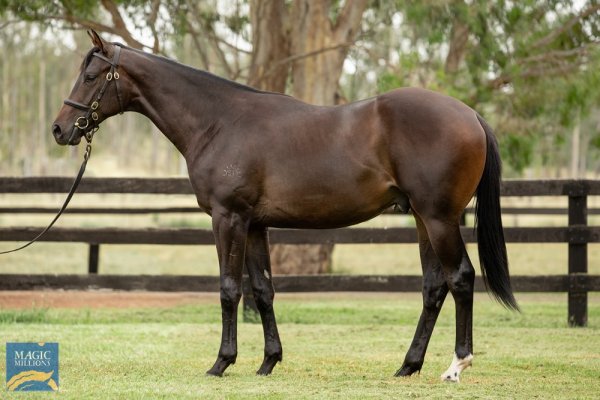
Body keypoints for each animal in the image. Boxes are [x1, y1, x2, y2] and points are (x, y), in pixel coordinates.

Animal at [54, 30, 516, 382]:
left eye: (91, 75)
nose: (60, 129)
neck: (219, 122)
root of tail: (472, 115)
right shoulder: (255, 224)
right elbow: (263, 291)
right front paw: (268, 362)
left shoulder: (228, 219)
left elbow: (229, 289)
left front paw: (221, 363)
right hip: (422, 219)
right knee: (434, 287)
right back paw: (408, 365)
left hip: (439, 219)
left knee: (461, 279)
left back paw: (456, 365)